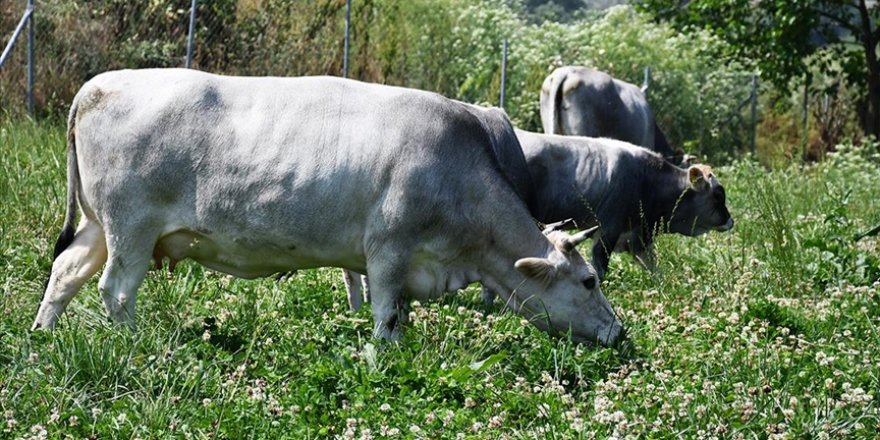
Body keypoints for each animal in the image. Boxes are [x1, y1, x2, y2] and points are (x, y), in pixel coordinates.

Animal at [32, 68, 624, 348]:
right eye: (589, 281)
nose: (619, 333)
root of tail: (101, 83)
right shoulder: (388, 250)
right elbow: (386, 316)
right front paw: (386, 362)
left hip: (99, 225)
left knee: (65, 271)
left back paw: (41, 336)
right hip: (131, 226)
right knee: (116, 290)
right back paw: (138, 343)